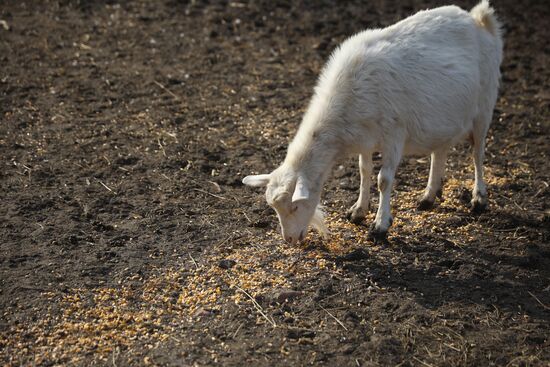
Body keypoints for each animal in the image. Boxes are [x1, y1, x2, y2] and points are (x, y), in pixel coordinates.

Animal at [244, 2, 502, 247]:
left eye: (295, 206)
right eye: (275, 208)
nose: (289, 239)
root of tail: (477, 19)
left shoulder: (394, 135)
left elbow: (383, 180)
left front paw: (380, 225)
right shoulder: (365, 138)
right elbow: (363, 170)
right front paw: (359, 210)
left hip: (484, 105)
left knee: (477, 153)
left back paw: (479, 198)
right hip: (445, 116)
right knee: (440, 151)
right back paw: (429, 196)